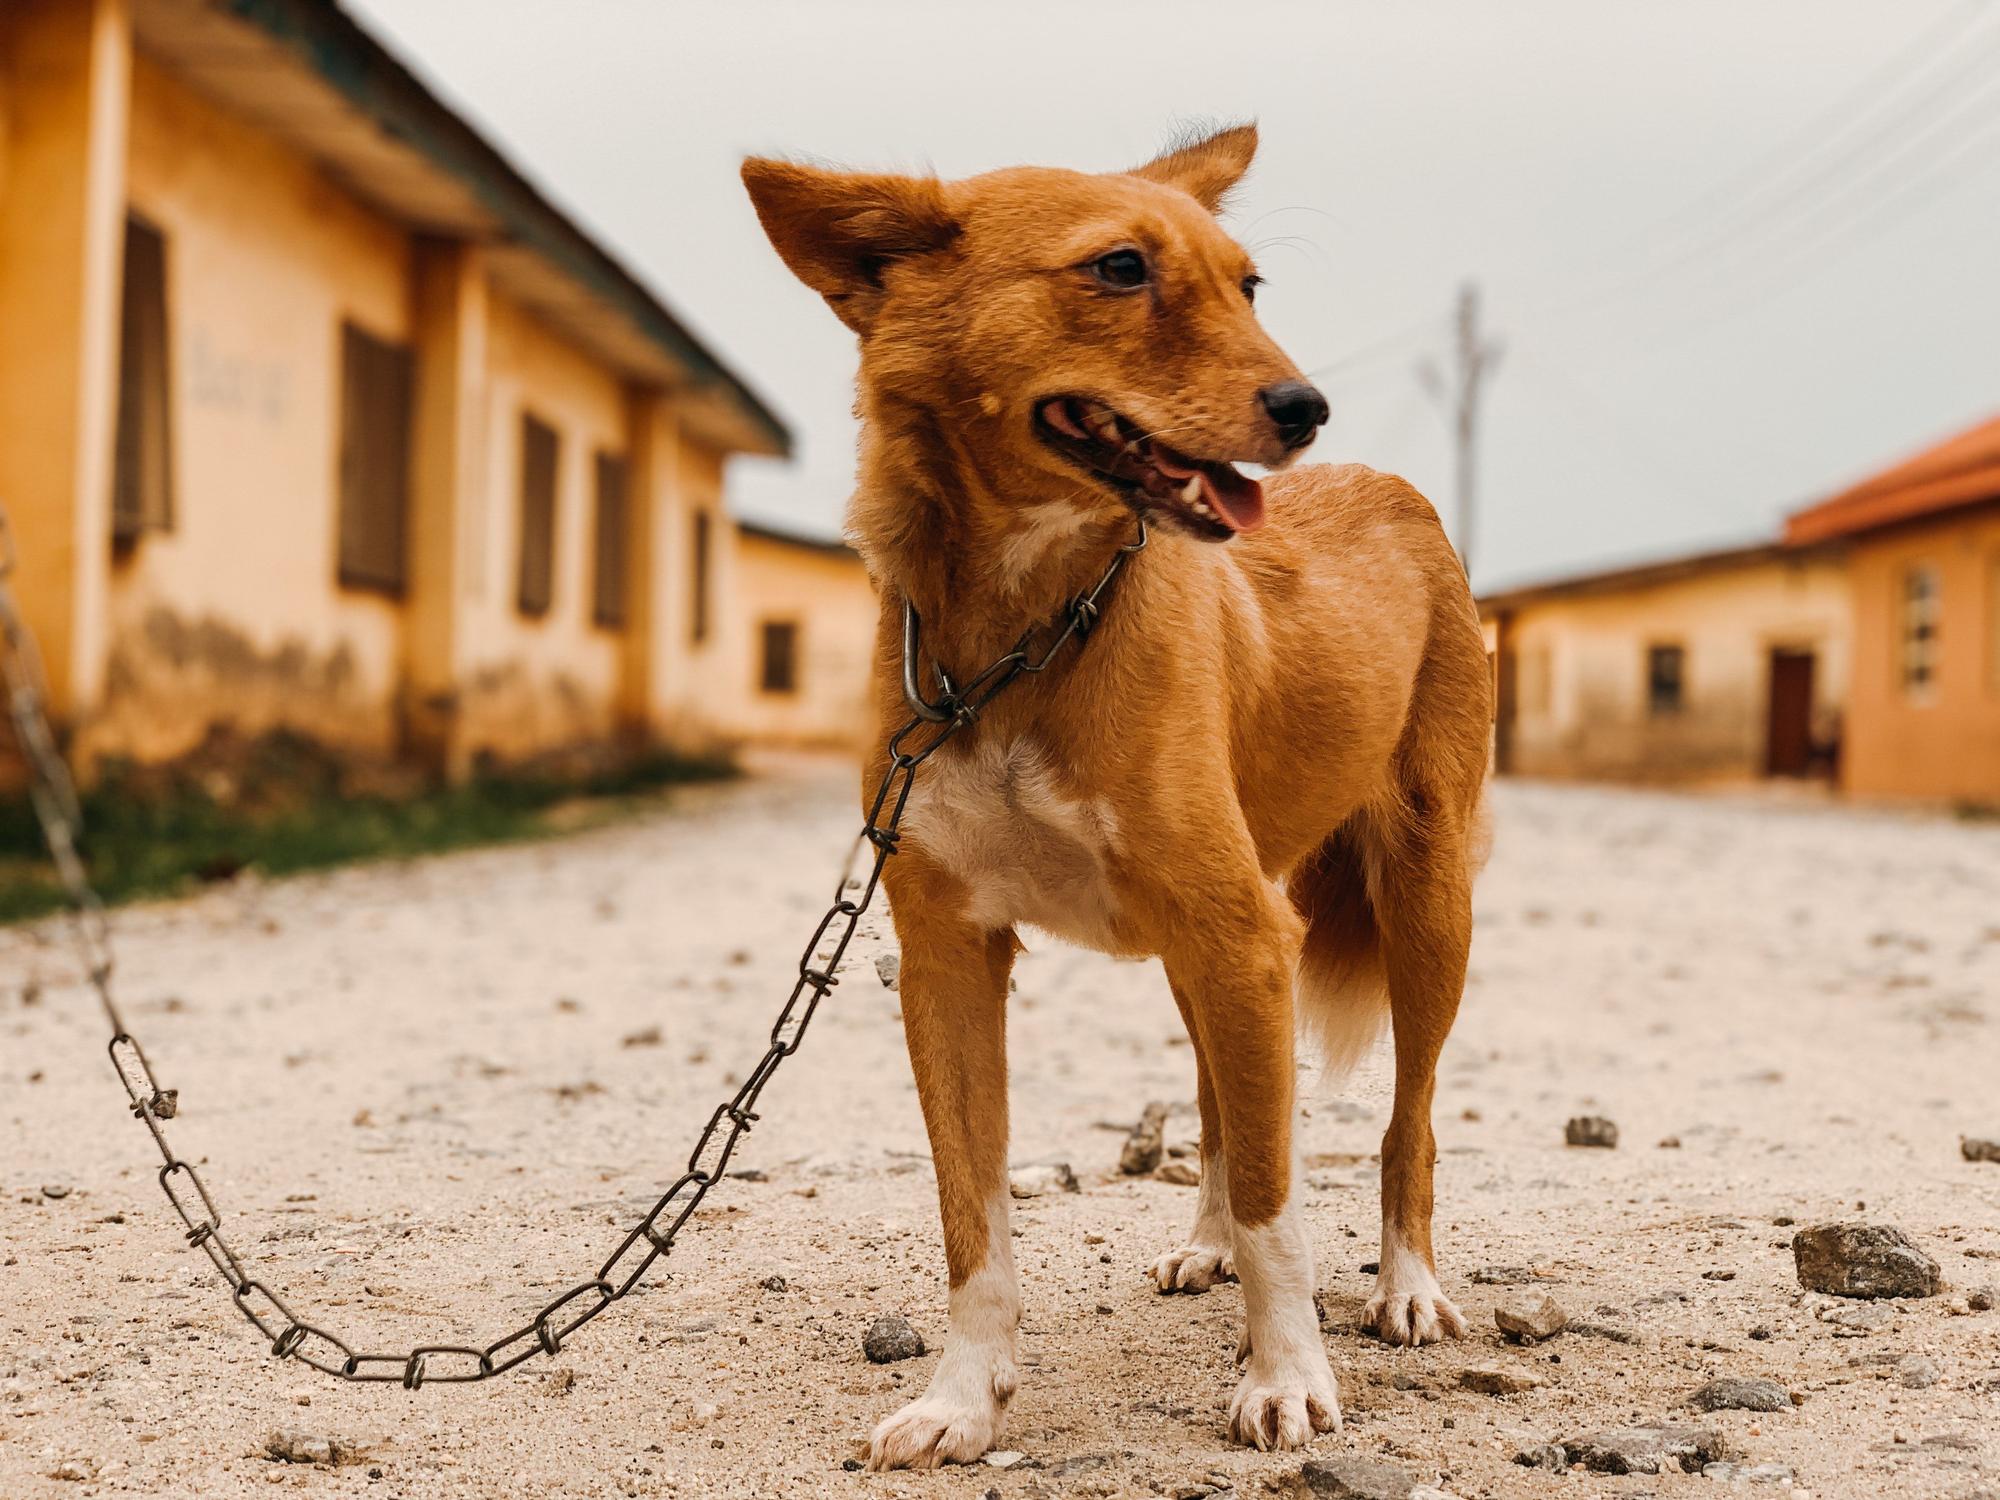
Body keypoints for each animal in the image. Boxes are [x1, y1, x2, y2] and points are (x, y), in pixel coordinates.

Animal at [744, 126, 1496, 1472]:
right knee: (1220, 1104)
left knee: (1400, 1123)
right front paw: (962, 1397)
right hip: (1208, 951)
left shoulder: (1242, 934)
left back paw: (1406, 1286)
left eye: (1247, 287)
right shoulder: (946, 957)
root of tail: (1393, 483)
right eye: (1118, 268)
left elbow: (1281, 1201)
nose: (1305, 407)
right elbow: (972, 1216)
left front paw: (1286, 1378)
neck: (1021, 637)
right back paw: (1203, 1243)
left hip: (1418, 902)